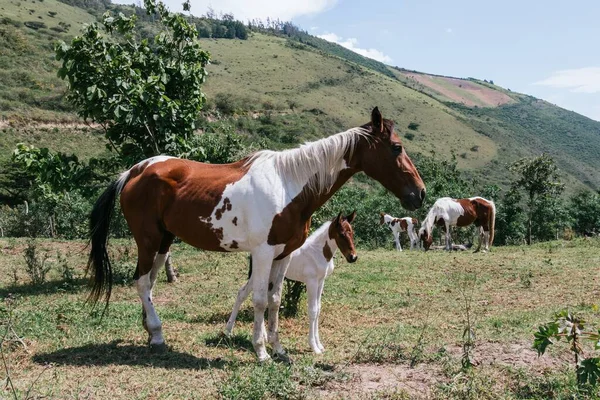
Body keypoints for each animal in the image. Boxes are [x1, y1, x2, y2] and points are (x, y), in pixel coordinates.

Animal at [225, 211, 356, 354]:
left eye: (352, 232)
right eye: (341, 234)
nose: (353, 257)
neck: (318, 252)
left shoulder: (321, 281)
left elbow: (318, 309)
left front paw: (320, 345)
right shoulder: (311, 282)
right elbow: (313, 311)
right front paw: (314, 347)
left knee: (246, 294)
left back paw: (255, 335)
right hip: (257, 274)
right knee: (243, 294)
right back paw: (229, 331)